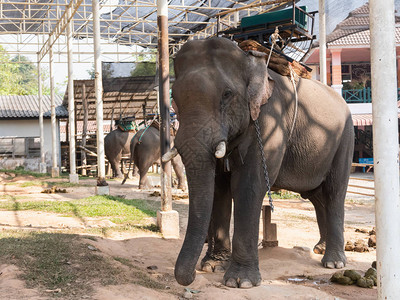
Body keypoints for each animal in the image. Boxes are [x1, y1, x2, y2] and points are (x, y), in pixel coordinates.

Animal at [168, 37, 354, 288]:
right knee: (317, 196)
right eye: (174, 99)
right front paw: (213, 266)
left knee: (334, 191)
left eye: (227, 94)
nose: (191, 277)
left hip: (344, 139)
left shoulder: (269, 121)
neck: (247, 58)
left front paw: (240, 282)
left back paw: (334, 262)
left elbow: (248, 185)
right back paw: (320, 248)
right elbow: (219, 187)